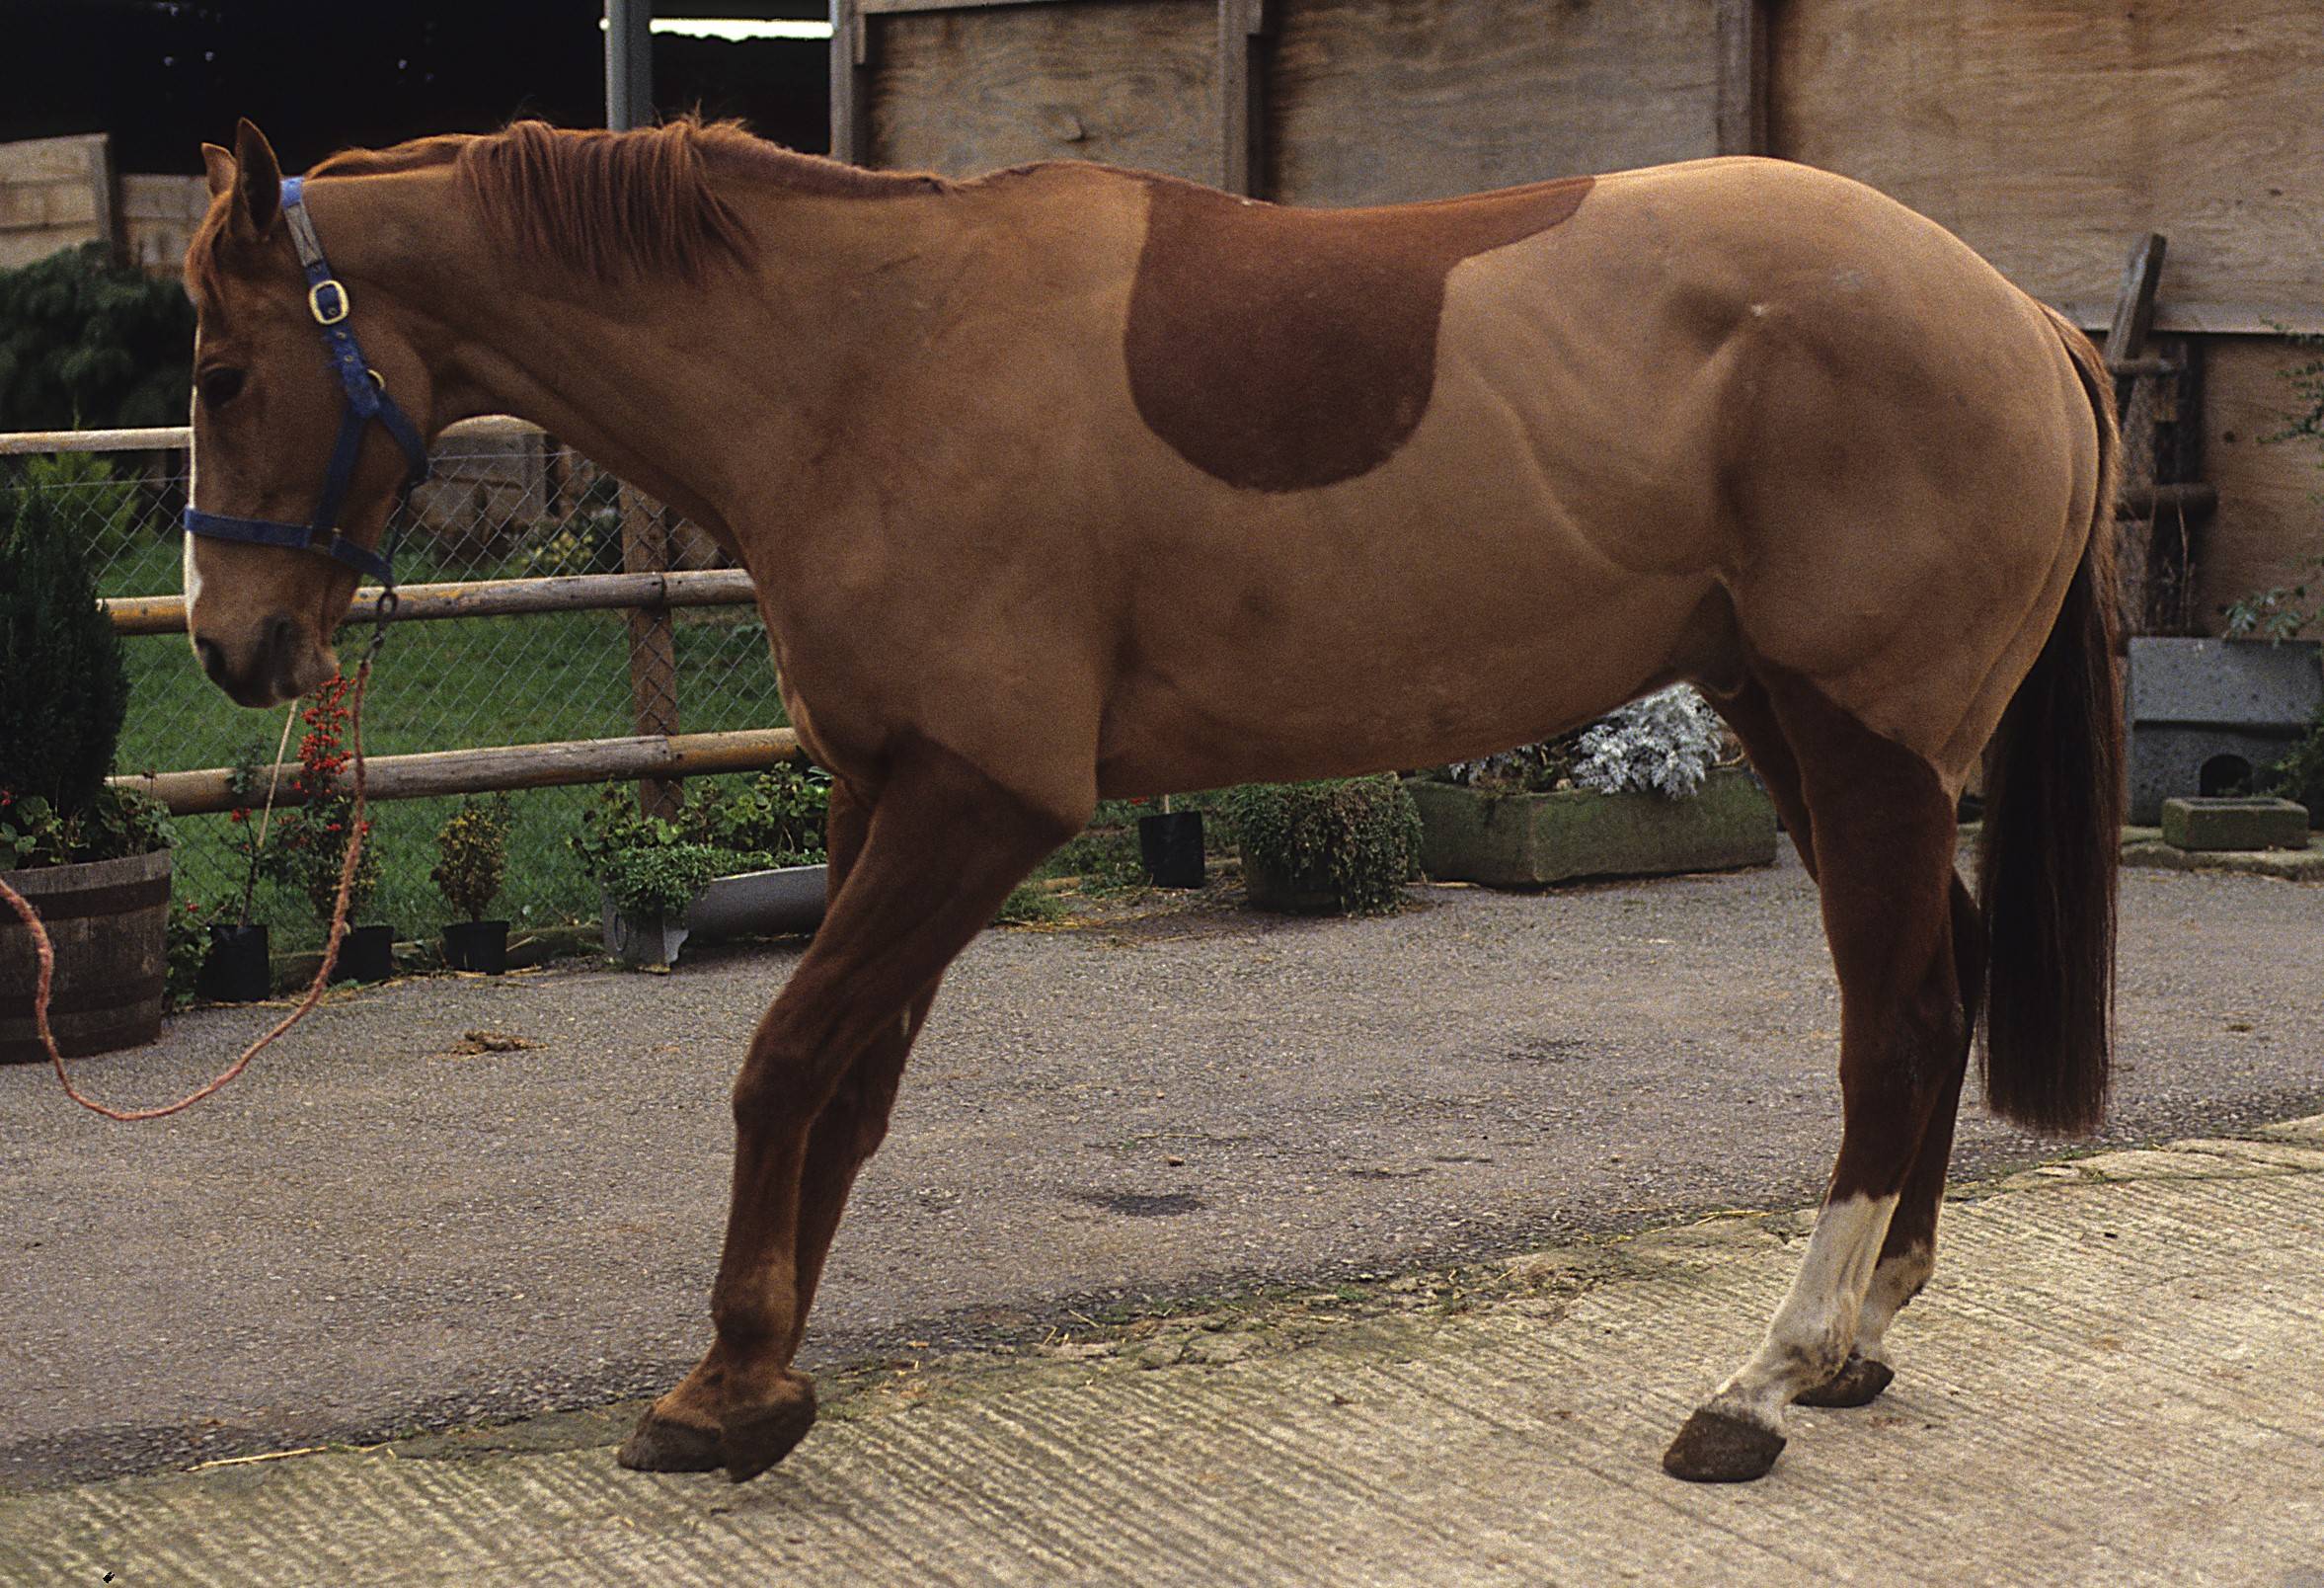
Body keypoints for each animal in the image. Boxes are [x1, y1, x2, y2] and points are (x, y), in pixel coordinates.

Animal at [172, 115, 2119, 1487]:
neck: (866, 354)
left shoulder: (979, 800)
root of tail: (2020, 317)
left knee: (1894, 1020)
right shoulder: (880, 789)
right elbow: (847, 1089)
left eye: (216, 371)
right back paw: (1857, 1338)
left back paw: (1764, 1378)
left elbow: (784, 1061)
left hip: (1857, 739)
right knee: (1931, 980)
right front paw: (759, 1367)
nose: (228, 645)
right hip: (1787, 718)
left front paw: (722, 1386)